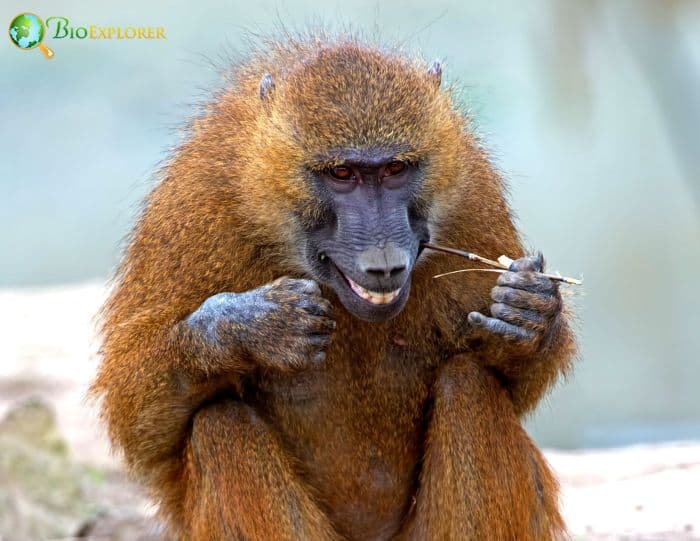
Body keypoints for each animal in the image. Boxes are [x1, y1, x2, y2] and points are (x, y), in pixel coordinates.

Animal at [91, 33, 576, 541]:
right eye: (342, 174)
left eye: (395, 170)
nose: (384, 262)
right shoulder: (198, 200)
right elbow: (140, 426)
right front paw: (252, 325)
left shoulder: (472, 193)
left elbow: (510, 378)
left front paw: (531, 314)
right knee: (221, 426)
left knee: (469, 384)